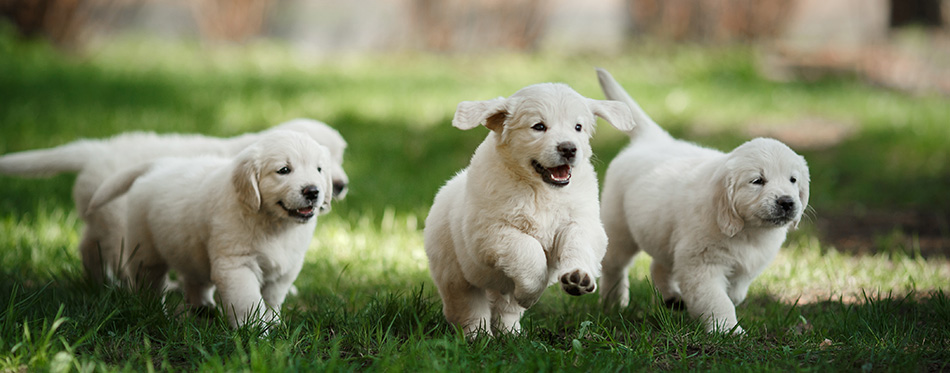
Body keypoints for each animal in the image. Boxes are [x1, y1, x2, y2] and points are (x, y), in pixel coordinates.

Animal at [0, 117, 348, 284]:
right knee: (118, 255)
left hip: (100, 215)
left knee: (88, 245)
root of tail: (95, 150)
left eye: (339, 157)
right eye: (286, 169)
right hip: (119, 220)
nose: (340, 186)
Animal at [85, 131, 336, 328]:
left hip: (192, 249)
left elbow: (272, 299)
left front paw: (273, 323)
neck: (273, 224)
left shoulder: (286, 269)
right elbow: (248, 301)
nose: (313, 191)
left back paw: (204, 308)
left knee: (195, 280)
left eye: (319, 169)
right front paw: (255, 332)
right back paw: (154, 310)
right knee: (149, 282)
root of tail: (160, 165)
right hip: (146, 250)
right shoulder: (236, 265)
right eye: (284, 170)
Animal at [426, 83, 636, 336]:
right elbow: (528, 249)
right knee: (468, 308)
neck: (540, 189)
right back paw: (479, 337)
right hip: (455, 274)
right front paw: (531, 293)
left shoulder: (581, 221)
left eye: (578, 127)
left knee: (506, 309)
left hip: (499, 290)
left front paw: (578, 277)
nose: (569, 148)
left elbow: (578, 243)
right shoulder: (489, 232)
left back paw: (511, 334)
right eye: (539, 127)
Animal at [596, 68, 812, 332]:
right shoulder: (701, 264)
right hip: (619, 228)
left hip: (663, 233)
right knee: (614, 266)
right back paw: (613, 303)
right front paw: (728, 330)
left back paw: (672, 298)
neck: (748, 231)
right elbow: (717, 300)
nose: (787, 202)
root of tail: (653, 140)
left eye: (793, 180)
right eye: (757, 181)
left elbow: (736, 292)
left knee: (659, 265)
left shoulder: (745, 265)